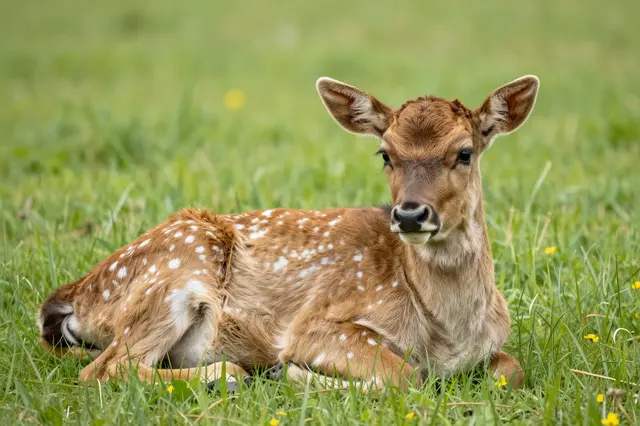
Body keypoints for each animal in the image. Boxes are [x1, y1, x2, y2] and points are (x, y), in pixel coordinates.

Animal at [37, 74, 539, 392]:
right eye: (385, 153)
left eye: (465, 152)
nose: (411, 215)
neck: (446, 332)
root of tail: (71, 296)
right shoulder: (316, 324)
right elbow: (405, 376)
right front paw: (294, 374)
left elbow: (513, 370)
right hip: (177, 270)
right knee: (104, 370)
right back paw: (228, 376)